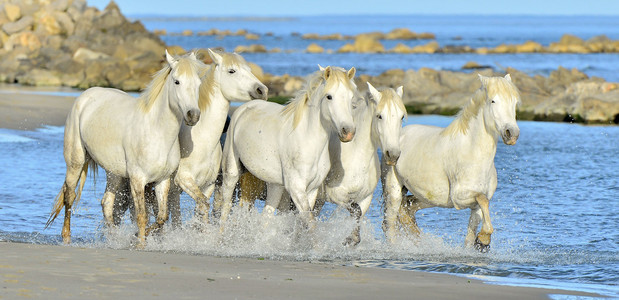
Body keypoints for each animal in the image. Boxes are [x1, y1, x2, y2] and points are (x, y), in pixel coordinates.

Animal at [47, 51, 206, 248]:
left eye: (198, 83)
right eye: (177, 81)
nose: (193, 116)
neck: (157, 132)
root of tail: (85, 95)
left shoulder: (163, 181)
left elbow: (162, 217)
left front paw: (135, 238)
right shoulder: (137, 180)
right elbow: (142, 215)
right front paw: (139, 243)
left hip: (114, 172)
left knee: (107, 203)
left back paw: (113, 239)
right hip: (75, 161)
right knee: (69, 195)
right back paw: (67, 237)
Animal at [219, 65, 356, 230]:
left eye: (351, 97)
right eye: (329, 96)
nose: (348, 132)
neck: (308, 141)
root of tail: (242, 109)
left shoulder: (312, 190)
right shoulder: (296, 189)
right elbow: (311, 225)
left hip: (275, 185)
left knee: (266, 217)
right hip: (231, 172)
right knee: (225, 209)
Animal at [320, 82, 406, 246]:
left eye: (402, 117)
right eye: (379, 116)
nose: (393, 155)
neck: (356, 156)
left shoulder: (365, 197)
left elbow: (358, 214)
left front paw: (351, 239)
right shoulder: (336, 194)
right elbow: (356, 211)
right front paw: (348, 240)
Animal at [380, 74, 520, 251]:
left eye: (514, 102)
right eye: (493, 101)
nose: (512, 134)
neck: (473, 153)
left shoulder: (476, 208)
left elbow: (472, 232)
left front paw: (480, 241)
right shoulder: (460, 197)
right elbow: (483, 200)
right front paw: (483, 239)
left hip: (428, 197)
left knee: (408, 207)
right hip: (393, 190)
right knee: (390, 223)